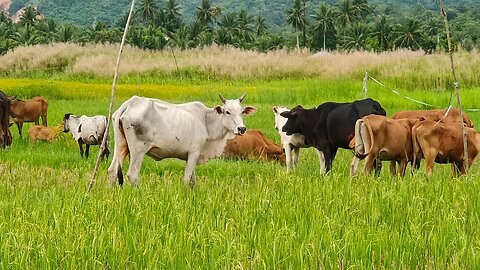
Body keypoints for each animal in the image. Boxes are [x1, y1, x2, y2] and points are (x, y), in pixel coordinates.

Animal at [108, 94, 256, 187]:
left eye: (241, 112)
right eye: (227, 112)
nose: (241, 128)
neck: (206, 121)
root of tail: (130, 103)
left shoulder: (191, 156)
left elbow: (192, 181)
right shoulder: (194, 153)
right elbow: (186, 179)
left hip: (121, 146)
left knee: (112, 171)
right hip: (138, 150)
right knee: (132, 175)